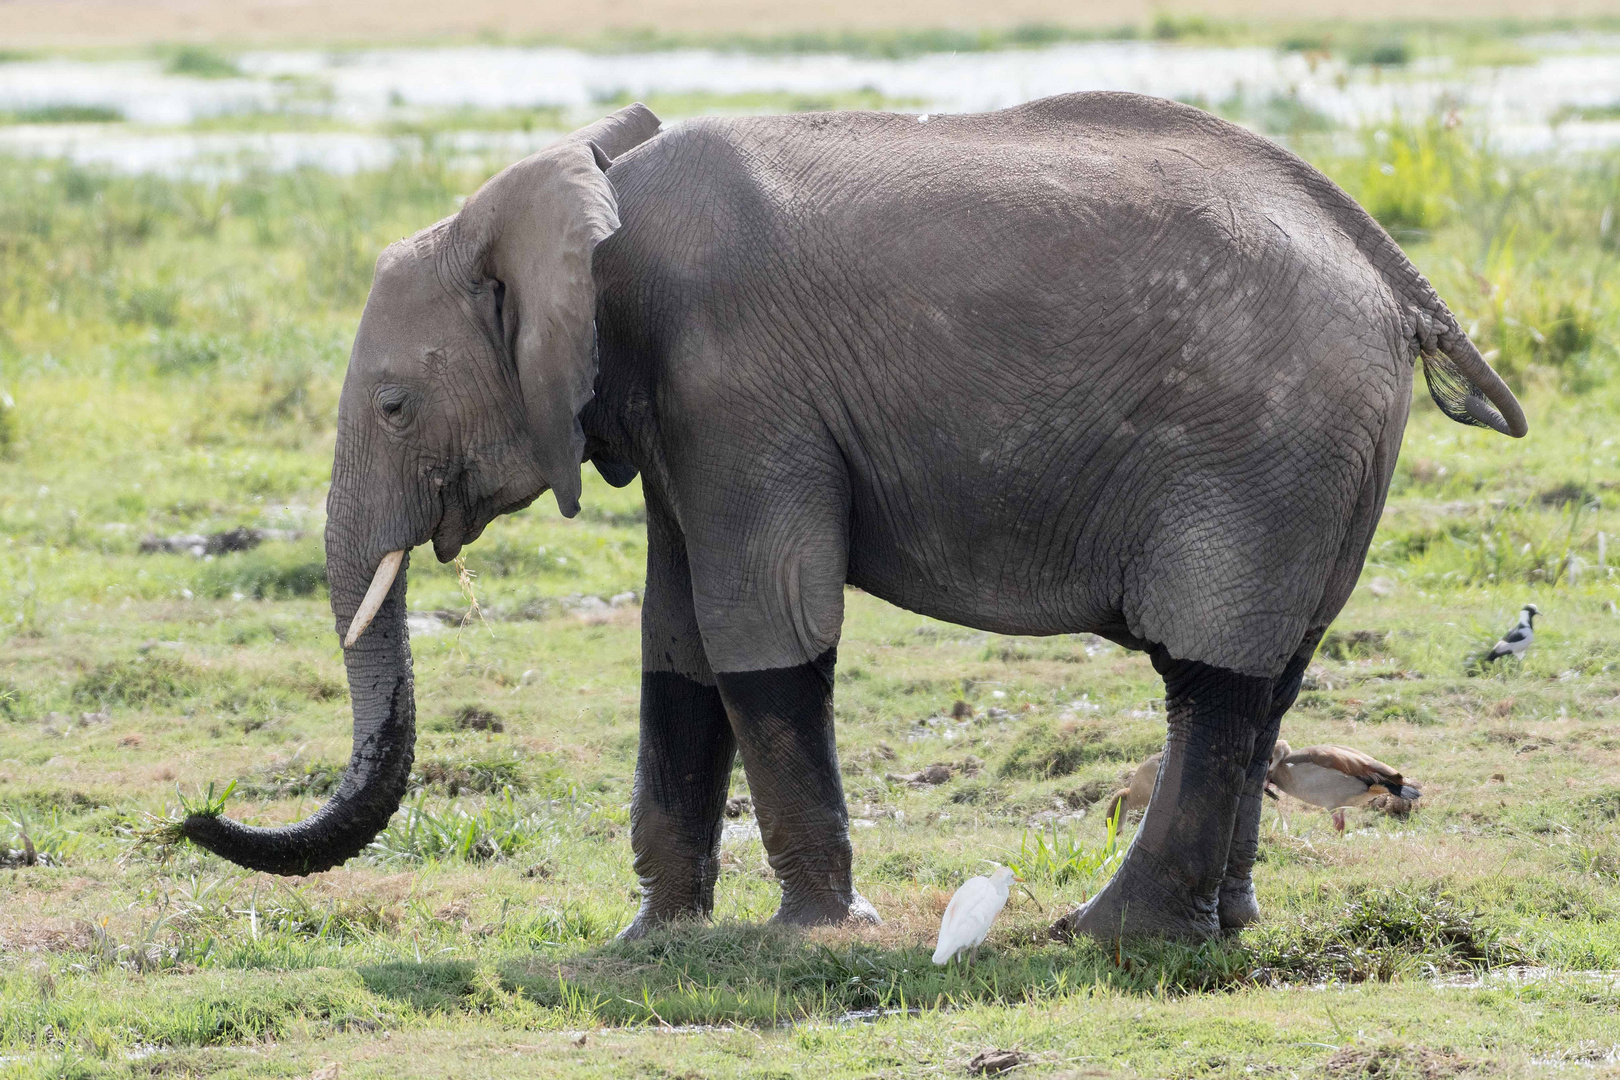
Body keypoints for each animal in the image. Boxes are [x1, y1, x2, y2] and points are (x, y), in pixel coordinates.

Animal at [177, 88, 1516, 939]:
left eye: (394, 406)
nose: (197, 813)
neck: (587, 201)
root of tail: (1394, 278)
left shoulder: (735, 383)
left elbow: (759, 624)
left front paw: (816, 932)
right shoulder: (674, 410)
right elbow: (677, 640)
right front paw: (654, 941)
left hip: (1261, 450)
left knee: (1212, 677)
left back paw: (1110, 937)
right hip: (1321, 465)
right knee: (1268, 681)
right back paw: (1219, 928)